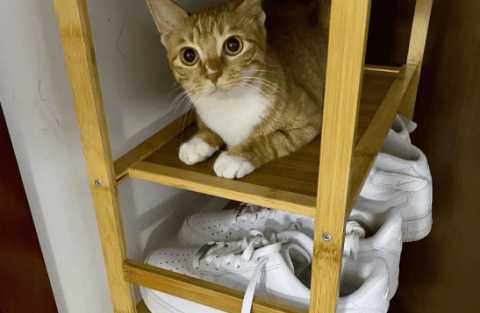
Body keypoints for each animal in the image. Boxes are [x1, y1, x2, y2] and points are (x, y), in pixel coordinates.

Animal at [147, 0, 330, 178]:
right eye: (189, 56)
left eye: (233, 45)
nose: (213, 74)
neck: (229, 105)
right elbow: (209, 127)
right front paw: (198, 140)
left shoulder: (309, 122)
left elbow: (269, 139)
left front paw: (235, 157)